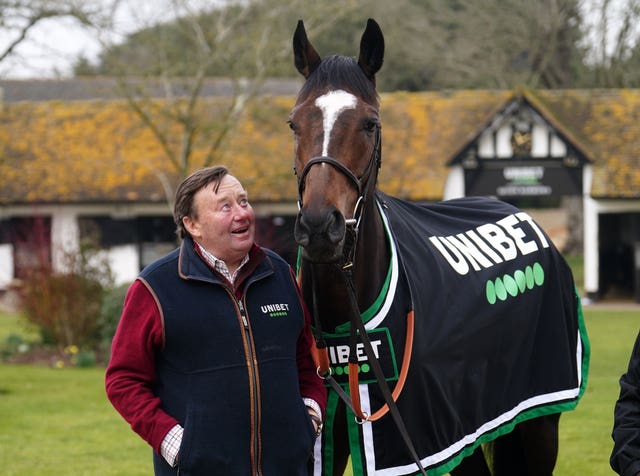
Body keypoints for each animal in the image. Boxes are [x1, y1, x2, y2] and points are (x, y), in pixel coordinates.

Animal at [290, 16, 592, 474]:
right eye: (294, 123)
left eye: (370, 123)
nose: (321, 226)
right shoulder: (330, 435)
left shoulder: (427, 441)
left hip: (538, 422)